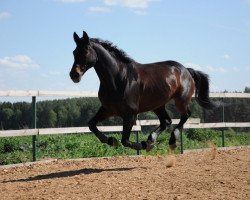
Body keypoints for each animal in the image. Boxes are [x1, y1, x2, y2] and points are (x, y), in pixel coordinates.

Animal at [69, 30, 218, 151]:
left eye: (86, 51)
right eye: (74, 52)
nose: (74, 75)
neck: (118, 78)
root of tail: (186, 70)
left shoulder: (130, 114)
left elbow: (125, 140)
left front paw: (143, 144)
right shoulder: (107, 109)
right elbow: (91, 125)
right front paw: (111, 140)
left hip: (180, 100)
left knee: (185, 115)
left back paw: (171, 141)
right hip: (158, 105)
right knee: (166, 121)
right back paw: (152, 139)